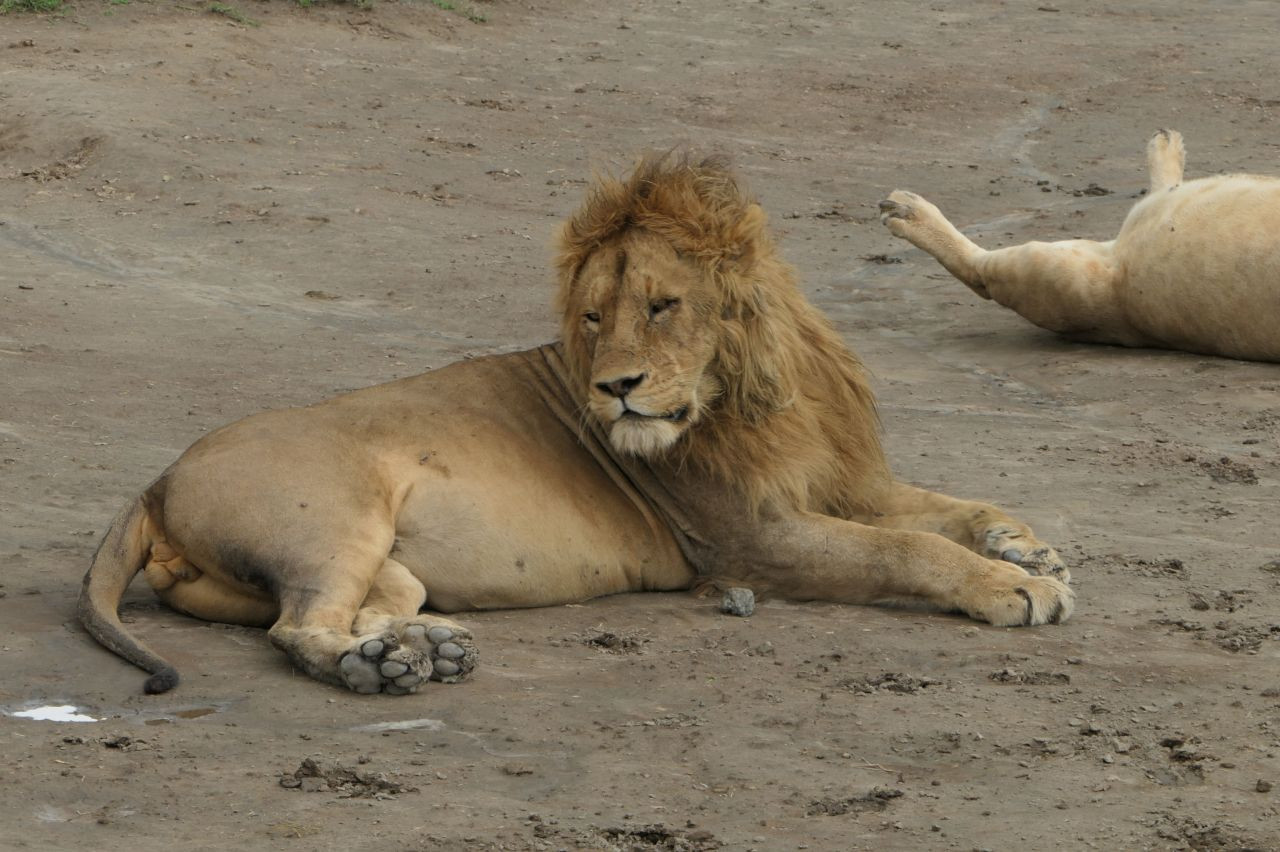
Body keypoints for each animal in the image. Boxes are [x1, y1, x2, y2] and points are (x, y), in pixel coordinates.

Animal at [80, 156, 1075, 695]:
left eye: (664, 305)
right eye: (594, 317)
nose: (617, 389)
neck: (762, 391)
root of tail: (157, 482)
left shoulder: (845, 484)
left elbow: (948, 507)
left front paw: (1026, 548)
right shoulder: (748, 542)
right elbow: (908, 547)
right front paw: (1012, 586)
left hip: (383, 565)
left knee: (350, 610)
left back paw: (423, 648)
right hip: (337, 520)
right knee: (299, 629)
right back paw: (381, 671)